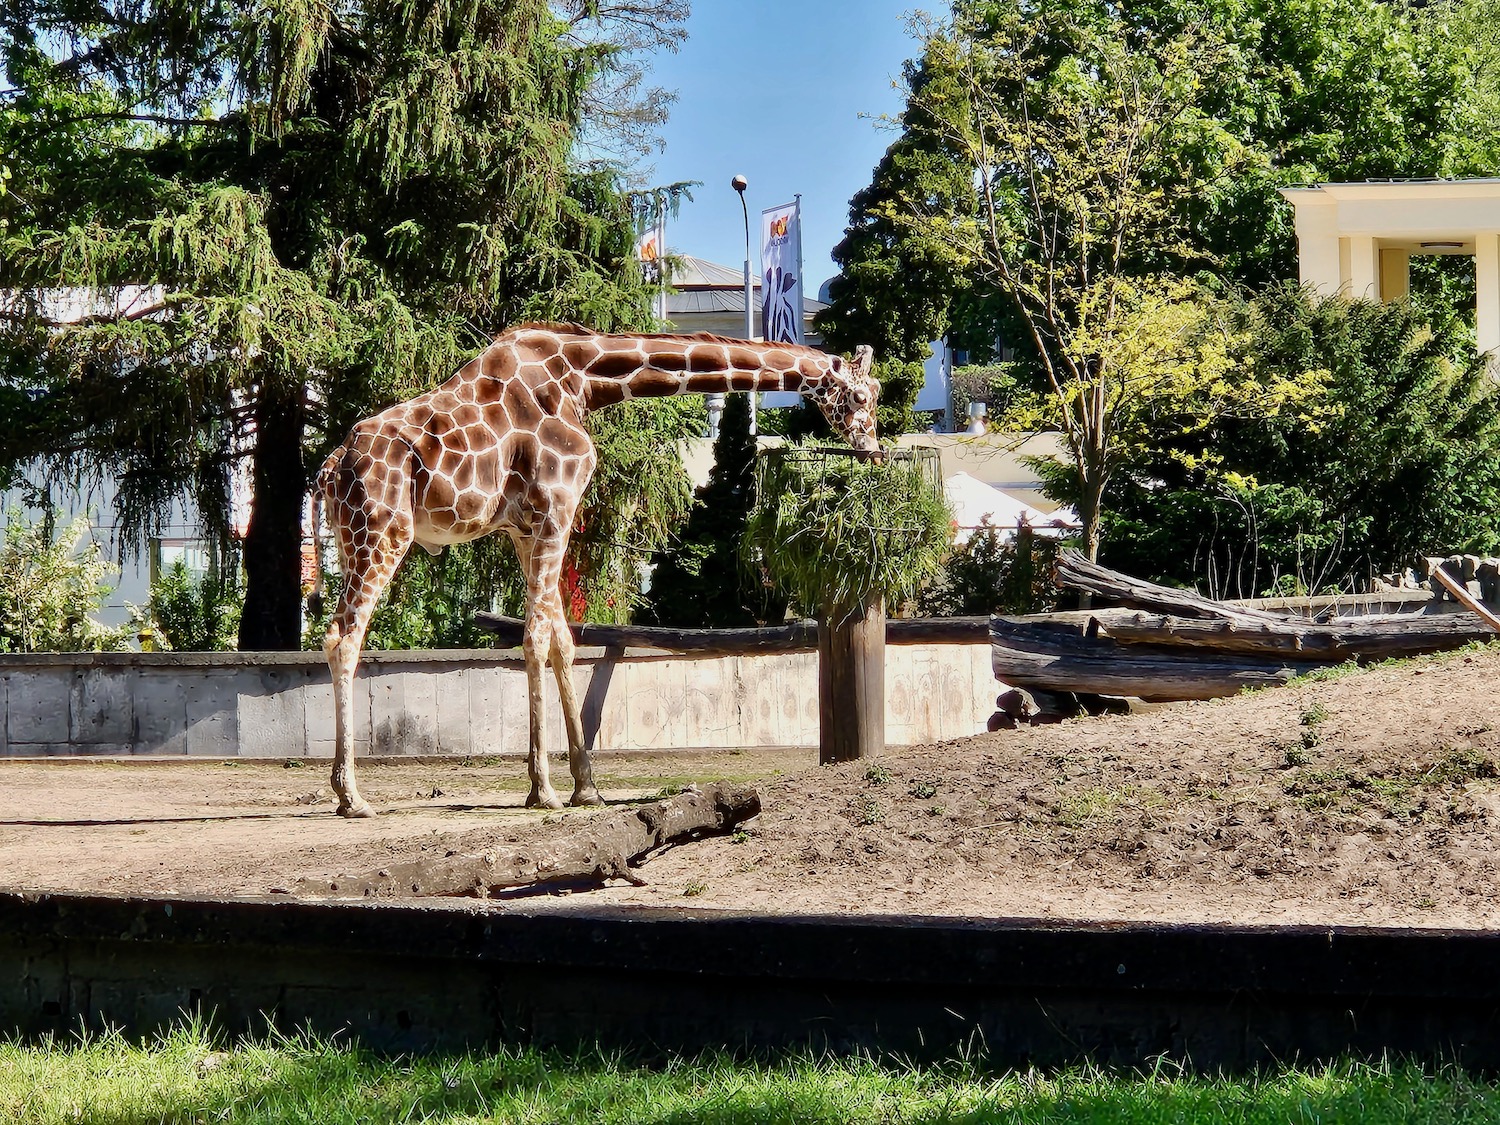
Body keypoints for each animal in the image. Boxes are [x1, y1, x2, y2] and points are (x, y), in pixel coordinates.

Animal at [318, 325, 876, 822]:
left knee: (336, 633)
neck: (582, 380)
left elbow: (563, 642)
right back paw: (352, 797)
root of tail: (332, 466)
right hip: (383, 533)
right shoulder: (556, 509)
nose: (870, 446)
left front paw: (586, 787)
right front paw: (542, 790)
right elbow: (535, 640)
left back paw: (345, 791)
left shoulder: (525, 528)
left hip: (349, 541)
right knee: (343, 636)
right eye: (859, 396)